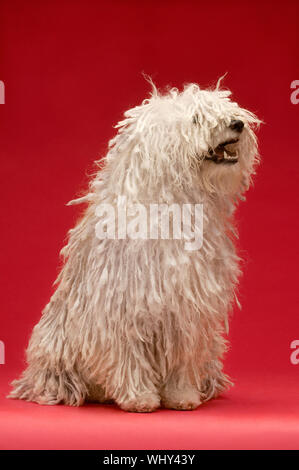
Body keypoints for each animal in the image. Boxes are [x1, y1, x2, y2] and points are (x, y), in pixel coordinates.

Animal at [9, 81, 260, 412]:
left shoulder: (187, 308)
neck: (173, 207)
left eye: (226, 110)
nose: (237, 123)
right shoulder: (124, 304)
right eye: (196, 119)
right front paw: (139, 397)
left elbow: (181, 356)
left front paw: (182, 395)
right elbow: (129, 353)